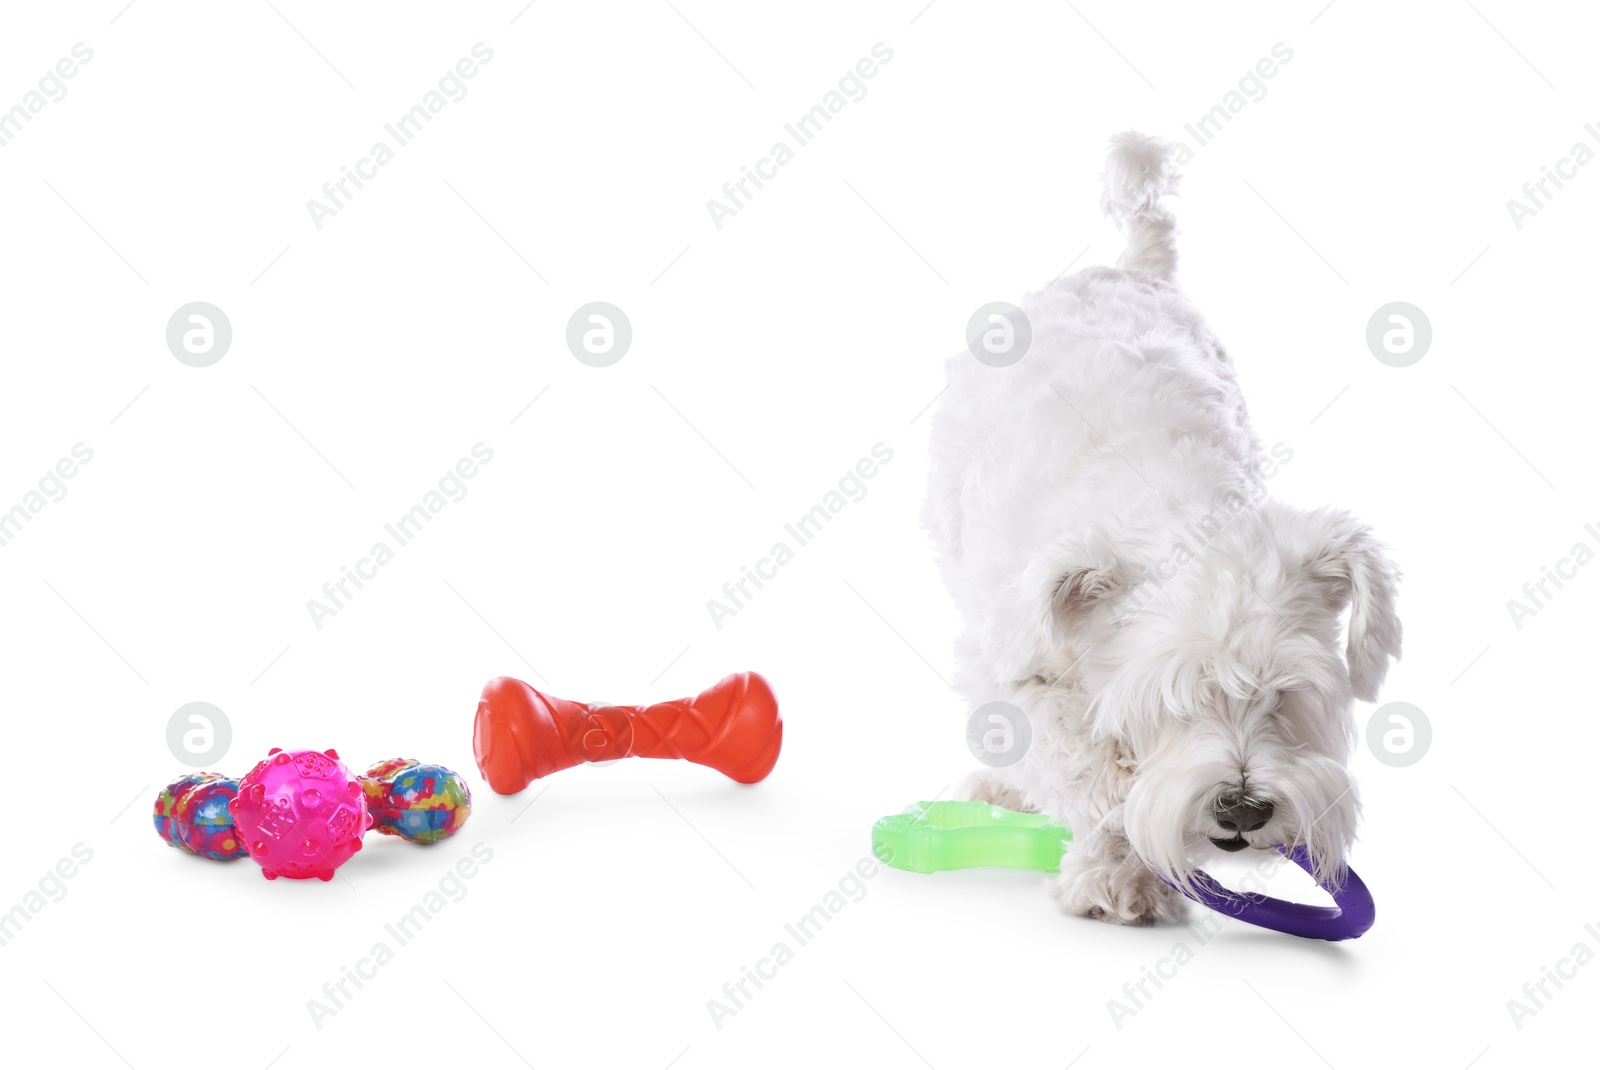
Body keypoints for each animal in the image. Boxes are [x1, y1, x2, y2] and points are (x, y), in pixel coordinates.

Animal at [928, 131, 1401, 921]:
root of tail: (1131, 267)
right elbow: (1075, 753)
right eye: (1170, 701)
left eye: (1284, 696)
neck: (1181, 507)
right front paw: (1117, 860)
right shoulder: (1008, 666)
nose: (1242, 809)